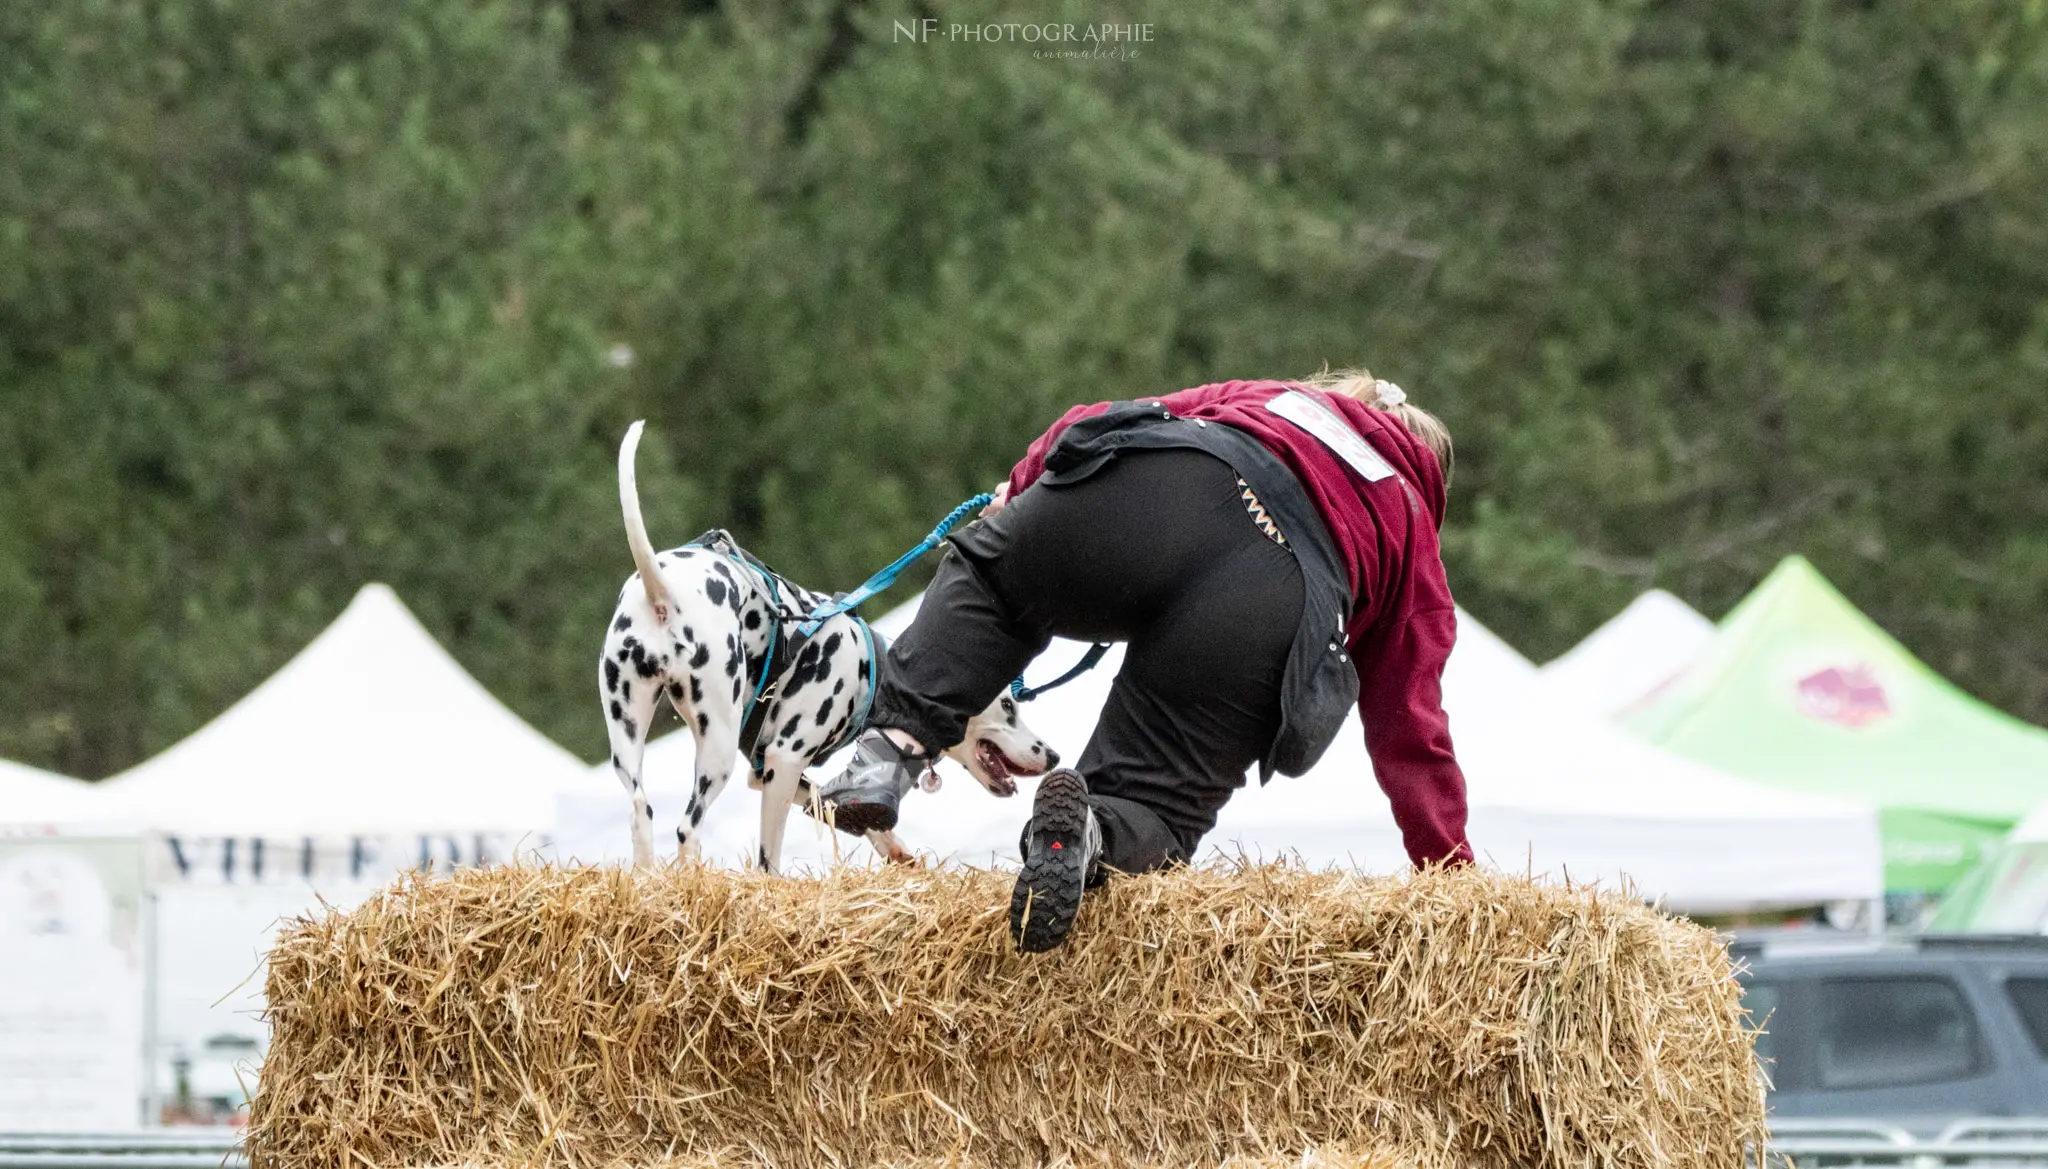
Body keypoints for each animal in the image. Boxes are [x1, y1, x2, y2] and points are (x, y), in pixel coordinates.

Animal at [598, 425, 1056, 872]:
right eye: (1009, 707)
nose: (1051, 754)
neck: (871, 671)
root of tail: (663, 590)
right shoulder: (783, 762)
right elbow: (769, 858)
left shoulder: (769, 772)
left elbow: (834, 805)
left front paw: (895, 848)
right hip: (716, 750)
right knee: (687, 828)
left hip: (629, 738)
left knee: (640, 810)